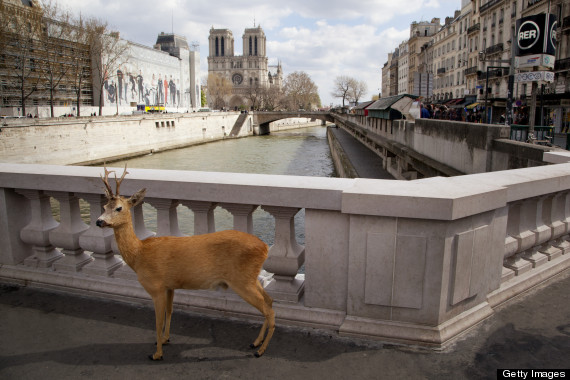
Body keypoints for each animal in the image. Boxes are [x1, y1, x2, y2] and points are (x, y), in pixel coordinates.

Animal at [95, 166, 276, 360]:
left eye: (119, 208)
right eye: (104, 206)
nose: (99, 221)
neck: (139, 254)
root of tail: (265, 247)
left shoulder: (156, 286)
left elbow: (157, 320)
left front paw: (157, 353)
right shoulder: (169, 286)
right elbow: (170, 311)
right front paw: (165, 339)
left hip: (241, 280)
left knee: (268, 309)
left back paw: (260, 350)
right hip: (251, 277)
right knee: (270, 301)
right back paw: (256, 342)